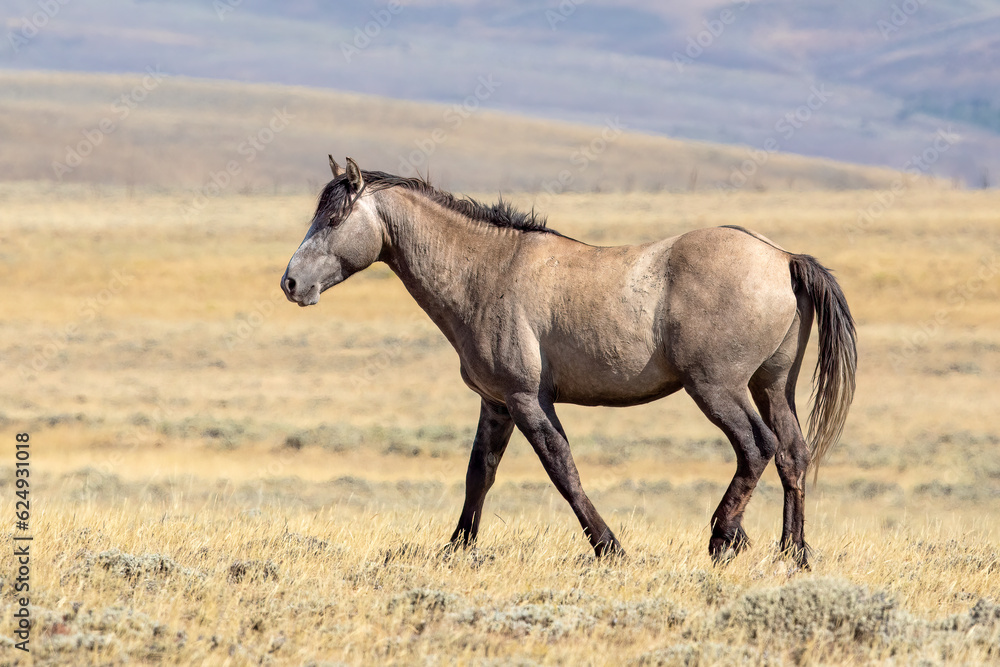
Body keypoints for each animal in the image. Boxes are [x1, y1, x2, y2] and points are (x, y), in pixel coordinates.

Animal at [278, 158, 856, 568]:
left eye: (334, 218)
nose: (291, 283)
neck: (486, 271)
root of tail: (783, 258)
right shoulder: (497, 403)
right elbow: (479, 473)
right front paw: (457, 547)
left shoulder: (527, 399)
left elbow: (562, 470)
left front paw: (609, 547)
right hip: (771, 386)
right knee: (792, 455)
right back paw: (792, 554)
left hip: (719, 389)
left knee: (756, 448)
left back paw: (722, 537)